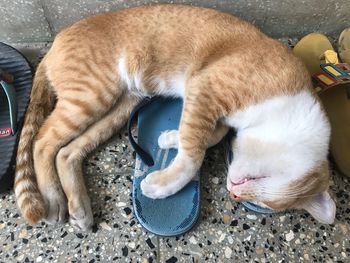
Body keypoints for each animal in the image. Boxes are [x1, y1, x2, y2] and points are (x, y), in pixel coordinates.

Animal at [14, 4, 336, 231]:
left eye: (253, 200)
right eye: (259, 180)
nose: (233, 191)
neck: (289, 103)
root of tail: (55, 42)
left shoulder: (208, 107)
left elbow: (208, 136)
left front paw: (171, 138)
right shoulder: (205, 87)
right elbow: (194, 154)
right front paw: (164, 184)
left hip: (118, 107)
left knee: (66, 152)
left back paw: (79, 207)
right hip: (92, 95)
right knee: (42, 141)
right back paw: (54, 199)